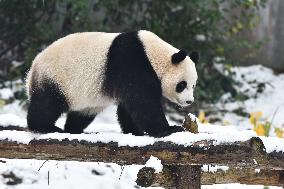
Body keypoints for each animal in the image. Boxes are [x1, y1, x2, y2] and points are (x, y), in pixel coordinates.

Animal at [27, 30, 200, 137]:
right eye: (181, 85)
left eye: (193, 85)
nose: (189, 101)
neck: (153, 55)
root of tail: (32, 68)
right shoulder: (132, 64)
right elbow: (143, 103)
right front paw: (170, 129)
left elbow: (128, 108)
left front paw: (134, 132)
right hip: (56, 77)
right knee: (47, 104)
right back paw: (45, 127)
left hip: (86, 100)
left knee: (82, 113)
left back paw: (74, 129)